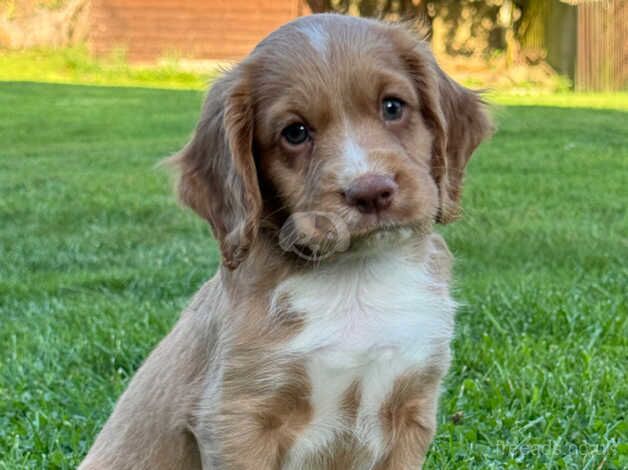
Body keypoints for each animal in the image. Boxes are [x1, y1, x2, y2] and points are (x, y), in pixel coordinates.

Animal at [79, 12, 490, 468]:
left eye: (393, 107)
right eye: (295, 132)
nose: (370, 191)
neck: (356, 276)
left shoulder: (413, 405)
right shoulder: (237, 418)